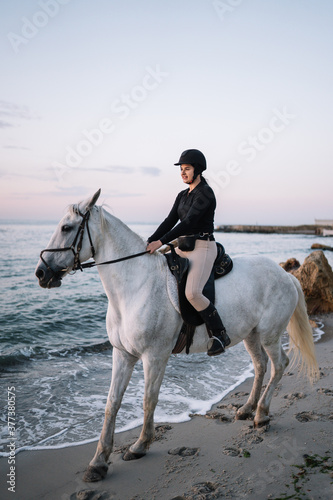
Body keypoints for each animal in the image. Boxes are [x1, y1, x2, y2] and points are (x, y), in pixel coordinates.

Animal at [35, 189, 318, 482]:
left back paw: (261, 415)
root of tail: (286, 274)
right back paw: (247, 409)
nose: (41, 273)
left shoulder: (154, 356)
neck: (135, 286)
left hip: (269, 335)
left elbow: (149, 399)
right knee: (261, 365)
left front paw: (140, 445)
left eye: (66, 228)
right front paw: (98, 462)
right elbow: (112, 403)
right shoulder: (122, 354)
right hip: (251, 335)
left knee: (279, 365)